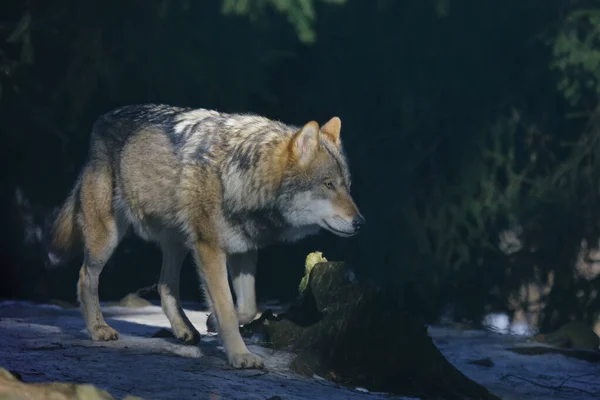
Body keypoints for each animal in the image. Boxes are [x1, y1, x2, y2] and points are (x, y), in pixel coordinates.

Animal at [49, 103, 364, 368]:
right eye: (328, 184)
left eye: (347, 187)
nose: (361, 223)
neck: (241, 173)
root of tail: (102, 119)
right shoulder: (210, 248)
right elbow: (226, 307)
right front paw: (239, 356)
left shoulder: (243, 249)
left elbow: (247, 307)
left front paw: (212, 322)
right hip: (108, 237)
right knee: (85, 276)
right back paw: (98, 328)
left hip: (177, 242)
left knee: (164, 285)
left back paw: (184, 329)